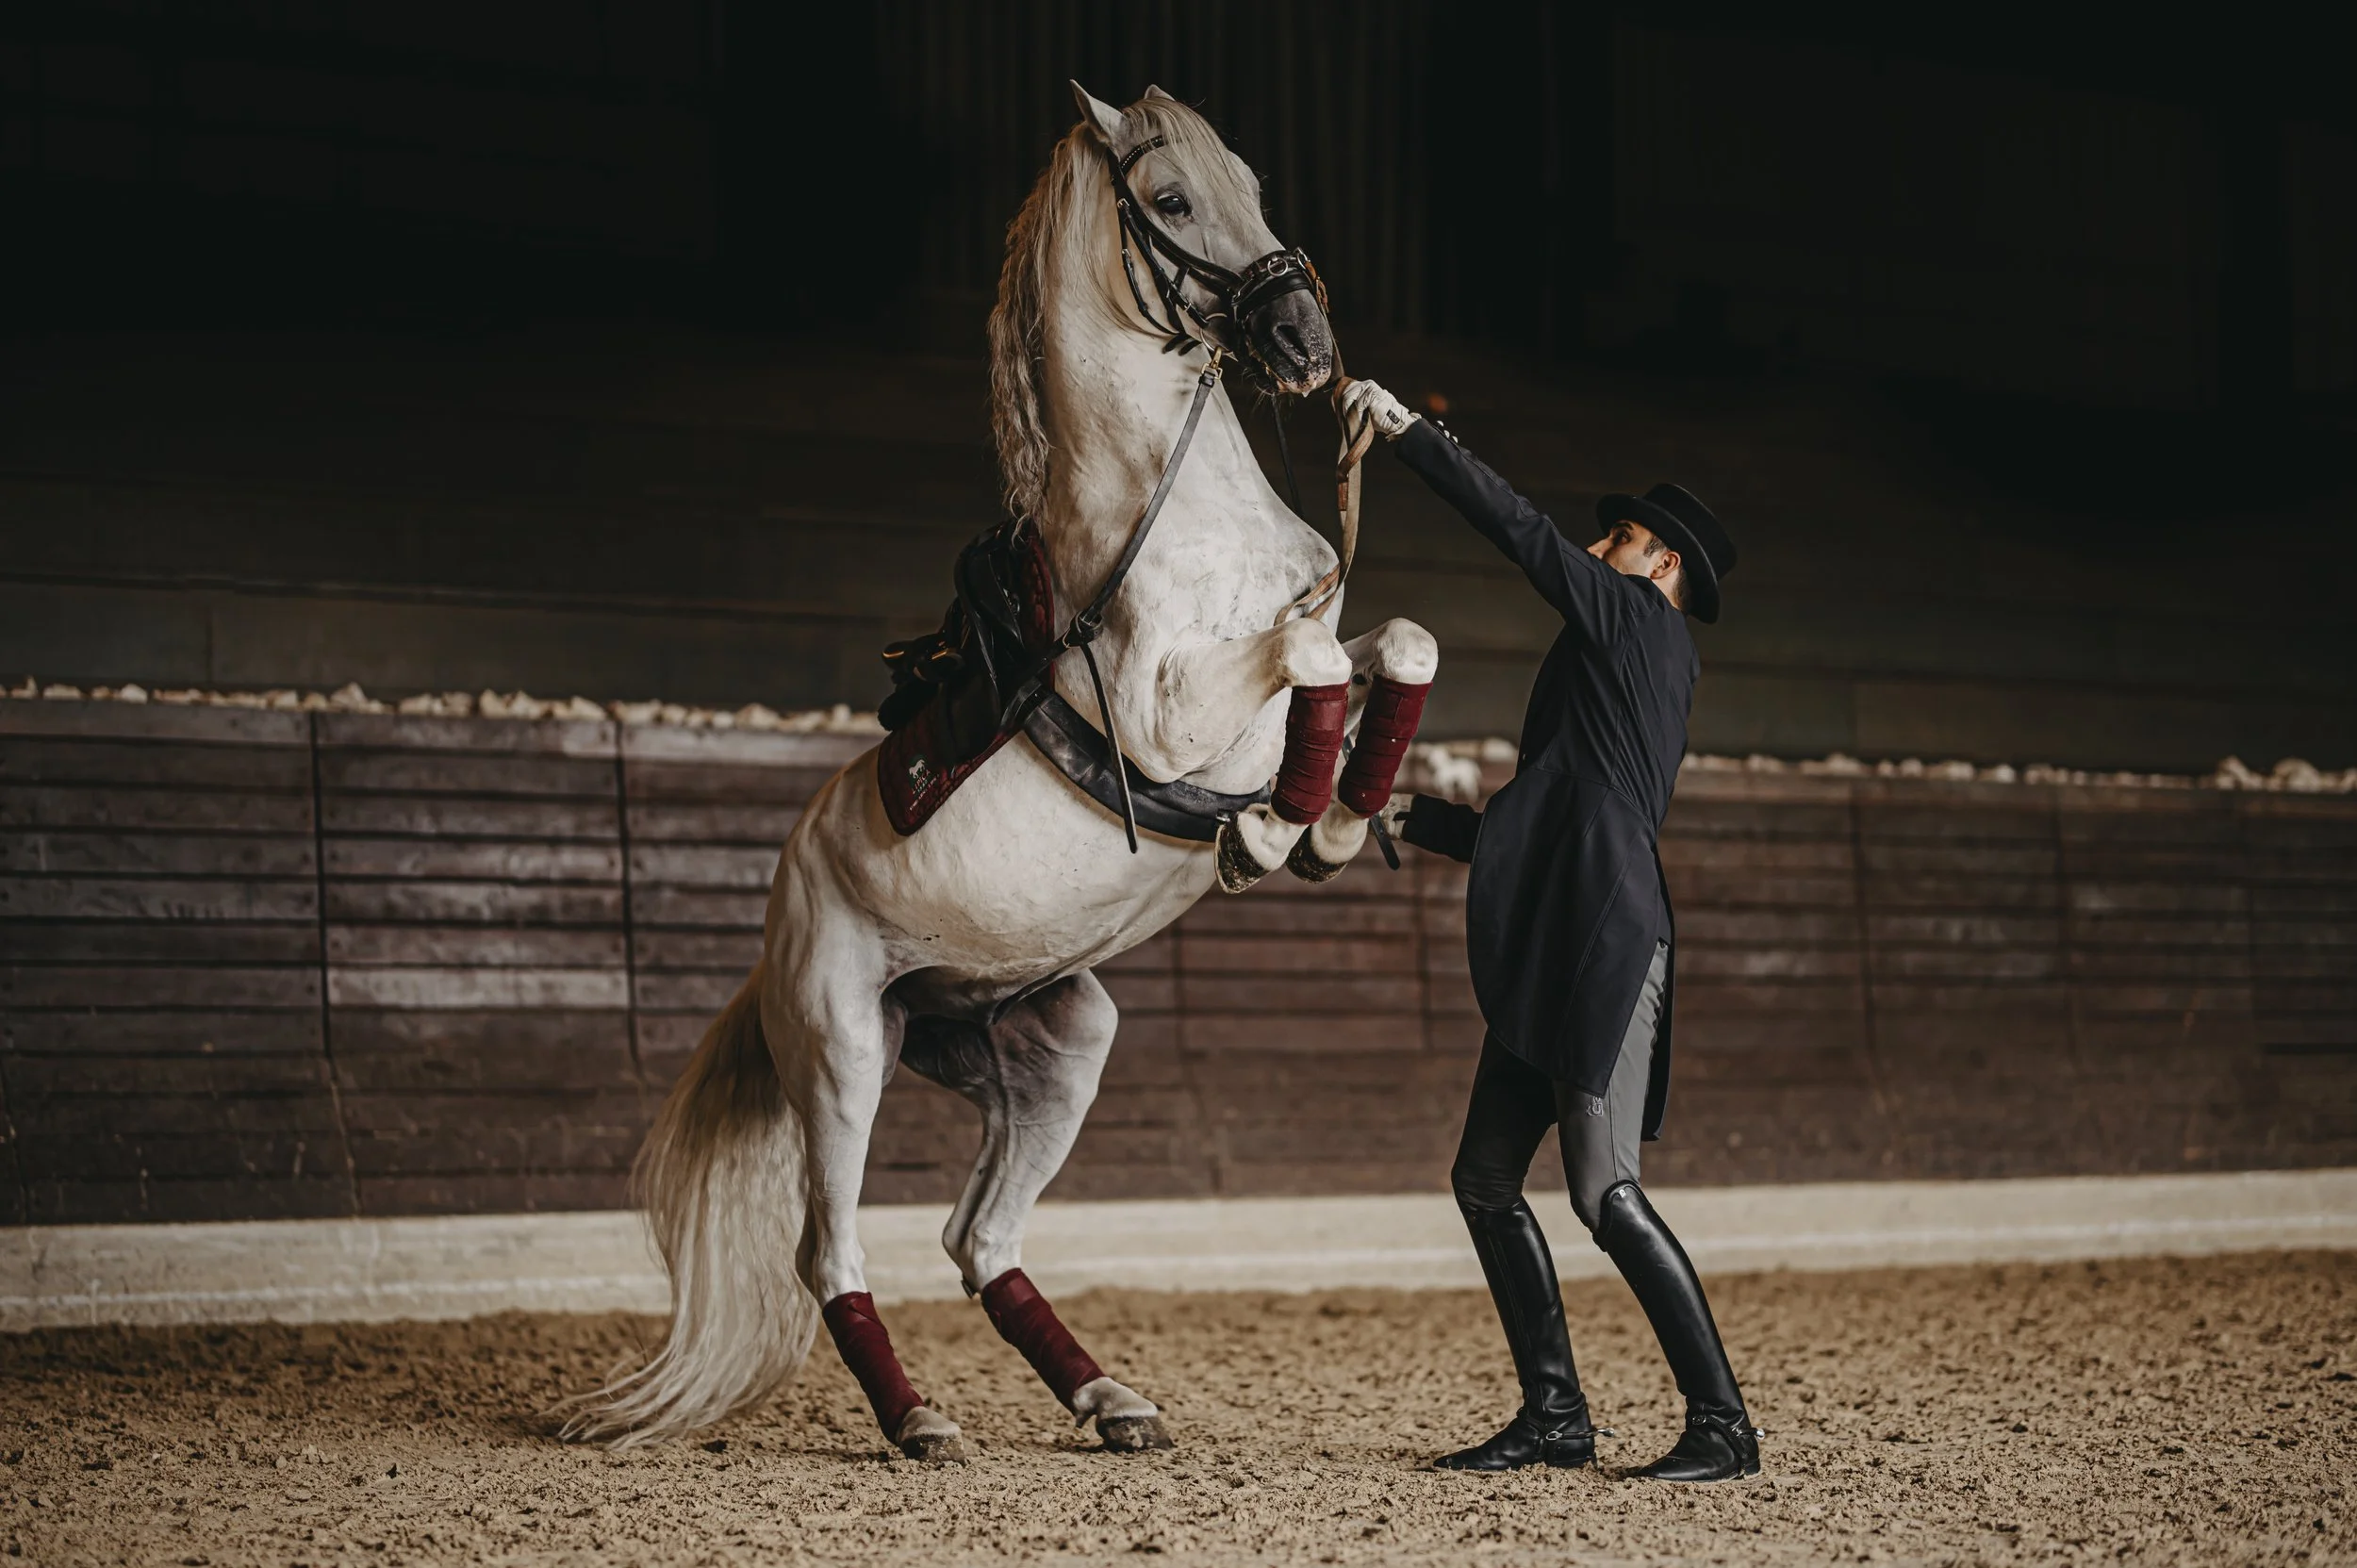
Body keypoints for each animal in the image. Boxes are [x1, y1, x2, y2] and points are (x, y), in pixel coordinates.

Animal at [563, 84, 1439, 1461]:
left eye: (1251, 179)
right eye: (1171, 198)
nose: (1303, 337)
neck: (1177, 524)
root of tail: (773, 936)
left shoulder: (1311, 652)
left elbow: (1393, 643)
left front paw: (1344, 816)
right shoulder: (1169, 710)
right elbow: (1304, 655)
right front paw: (1276, 831)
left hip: (1052, 1043)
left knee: (979, 1238)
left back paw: (1112, 1398)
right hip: (843, 1049)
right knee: (831, 1252)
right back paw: (921, 1419)